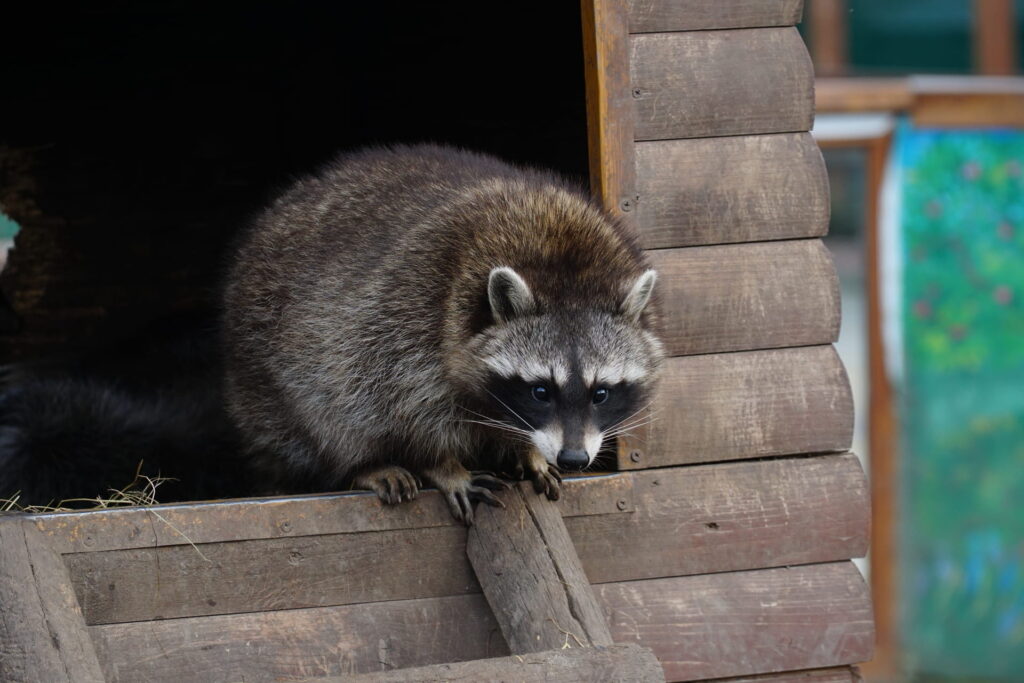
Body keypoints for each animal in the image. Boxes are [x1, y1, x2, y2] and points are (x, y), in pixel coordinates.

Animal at [223, 145, 663, 523]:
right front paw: (443, 464)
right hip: (263, 360)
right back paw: (364, 464)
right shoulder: (408, 312)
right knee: (326, 408)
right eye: (541, 391)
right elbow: (403, 406)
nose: (573, 459)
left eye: (601, 392)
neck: (563, 262)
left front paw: (527, 450)